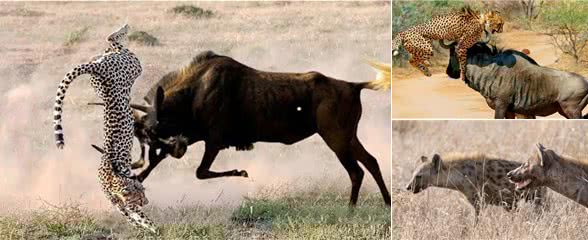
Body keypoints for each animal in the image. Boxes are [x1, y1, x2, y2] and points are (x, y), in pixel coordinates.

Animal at [52, 23, 156, 232]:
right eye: (140, 196)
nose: (147, 201)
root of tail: (97, 67)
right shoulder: (122, 207)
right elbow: (137, 218)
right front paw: (150, 228)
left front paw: (153, 228)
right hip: (116, 74)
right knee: (112, 46)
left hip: (128, 68)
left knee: (113, 43)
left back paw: (122, 29)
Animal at [404, 154, 548, 223]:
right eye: (413, 174)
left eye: (419, 176)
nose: (407, 187)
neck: (461, 176)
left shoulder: (479, 199)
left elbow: (477, 218)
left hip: (536, 197)